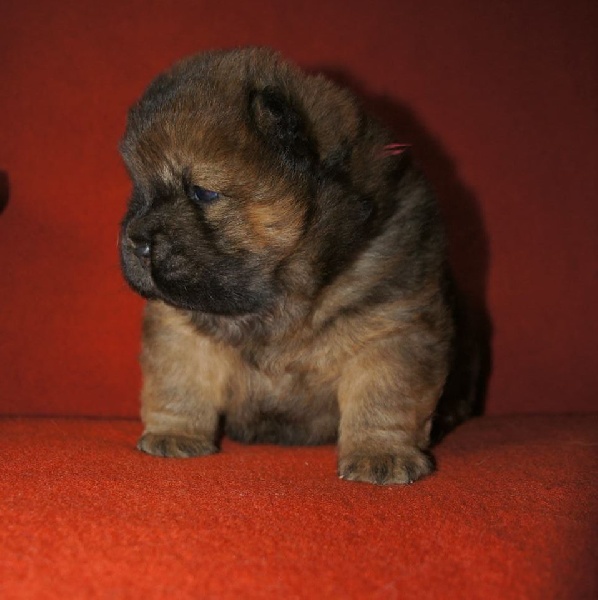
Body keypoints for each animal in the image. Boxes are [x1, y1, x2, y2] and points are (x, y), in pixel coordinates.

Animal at [119, 47, 473, 484]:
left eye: (202, 192)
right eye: (139, 189)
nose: (136, 240)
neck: (278, 302)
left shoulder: (393, 322)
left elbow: (384, 394)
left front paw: (381, 456)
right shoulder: (180, 327)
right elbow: (179, 379)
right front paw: (173, 435)